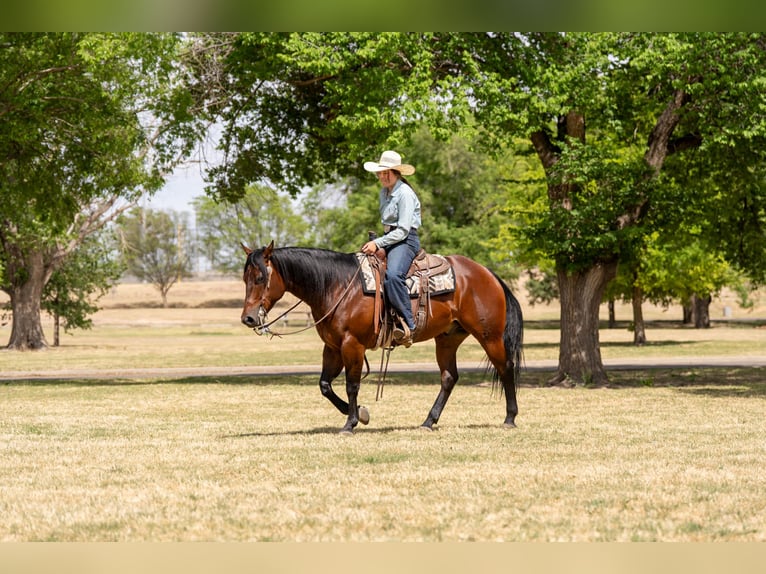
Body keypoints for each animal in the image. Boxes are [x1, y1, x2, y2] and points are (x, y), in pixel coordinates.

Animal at [240, 241, 523, 434]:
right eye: (245, 278)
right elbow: (325, 385)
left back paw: (510, 418)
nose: (248, 318)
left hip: (489, 336)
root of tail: (487, 273)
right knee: (449, 378)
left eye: (261, 277)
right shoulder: (332, 347)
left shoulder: (352, 345)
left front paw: (351, 422)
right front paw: (359, 413)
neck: (338, 286)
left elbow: (352, 385)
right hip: (447, 339)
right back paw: (428, 421)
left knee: (505, 367)